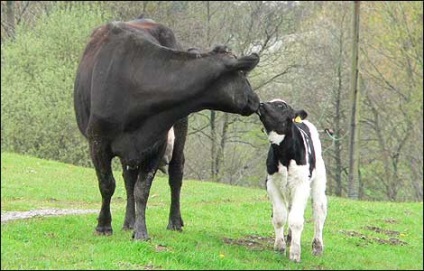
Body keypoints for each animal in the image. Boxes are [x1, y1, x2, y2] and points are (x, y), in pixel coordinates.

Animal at [74, 17, 260, 242]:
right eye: (241, 73)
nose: (256, 100)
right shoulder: (97, 142)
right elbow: (107, 184)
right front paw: (103, 225)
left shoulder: (156, 143)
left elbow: (142, 189)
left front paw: (141, 232)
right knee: (128, 180)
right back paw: (128, 222)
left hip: (180, 128)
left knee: (175, 174)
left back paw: (174, 221)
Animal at [255, 99, 328, 264]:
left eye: (281, 106)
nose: (261, 104)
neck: (283, 153)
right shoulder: (271, 183)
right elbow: (279, 217)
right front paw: (280, 247)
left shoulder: (301, 185)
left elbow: (296, 220)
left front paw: (295, 253)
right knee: (290, 208)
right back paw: (289, 239)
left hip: (318, 182)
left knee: (319, 211)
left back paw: (317, 247)